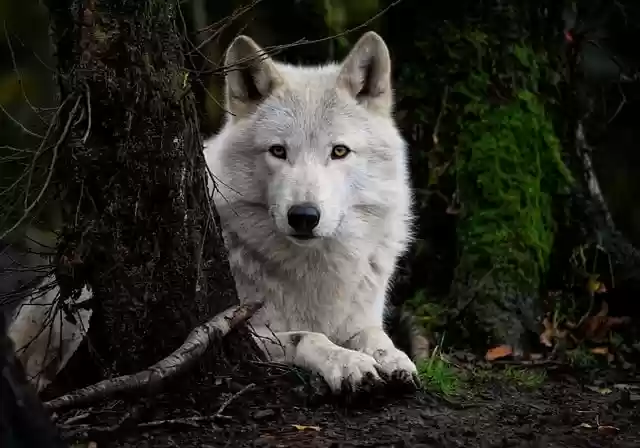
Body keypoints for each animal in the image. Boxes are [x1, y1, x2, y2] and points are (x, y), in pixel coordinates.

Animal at [203, 31, 418, 393]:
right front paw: (349, 364)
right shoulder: (250, 331)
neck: (316, 269)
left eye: (339, 151)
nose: (303, 216)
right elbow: (310, 336)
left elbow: (376, 336)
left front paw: (394, 359)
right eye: (278, 151)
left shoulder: (361, 318)